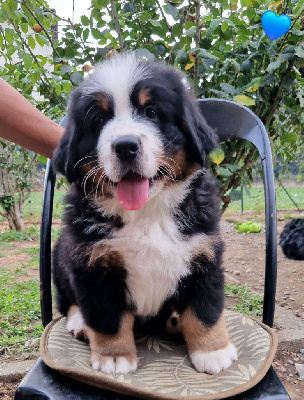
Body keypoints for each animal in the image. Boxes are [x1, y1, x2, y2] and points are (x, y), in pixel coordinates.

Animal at [51, 53, 238, 376]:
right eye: (99, 120)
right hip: (60, 255)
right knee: (68, 302)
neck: (146, 214)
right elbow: (107, 316)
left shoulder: (204, 254)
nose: (125, 146)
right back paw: (79, 323)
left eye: (151, 112)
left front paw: (213, 350)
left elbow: (205, 308)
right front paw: (114, 357)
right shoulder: (92, 264)